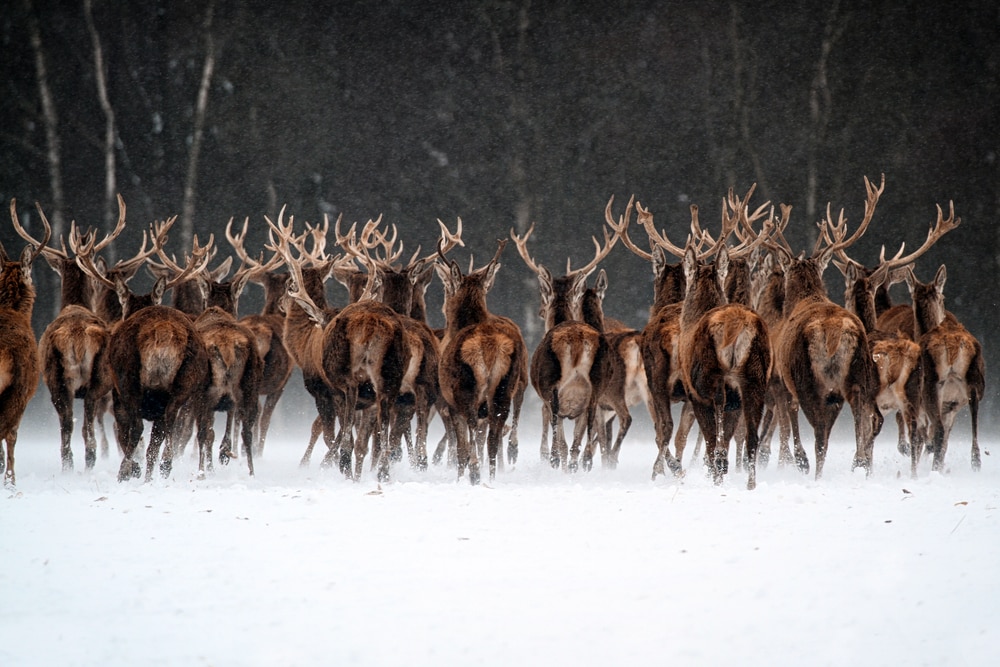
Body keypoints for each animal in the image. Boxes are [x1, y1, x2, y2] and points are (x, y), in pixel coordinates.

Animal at [11, 198, 124, 471]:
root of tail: (77, 337)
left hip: (60, 379)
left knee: (72, 424)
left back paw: (74, 465)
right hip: (85, 381)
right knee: (80, 425)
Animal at [435, 239, 528, 484]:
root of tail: (488, 346)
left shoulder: (450, 401)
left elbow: (461, 446)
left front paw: (461, 476)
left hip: (465, 387)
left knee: (473, 427)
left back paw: (476, 473)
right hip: (505, 385)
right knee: (494, 436)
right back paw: (493, 476)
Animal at [511, 208, 621, 472]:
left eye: (543, 297)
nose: (541, 312)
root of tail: (578, 341)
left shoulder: (548, 398)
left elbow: (561, 444)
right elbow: (576, 444)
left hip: (552, 388)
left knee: (558, 446)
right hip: (595, 389)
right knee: (584, 449)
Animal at [768, 174, 886, 479]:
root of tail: (835, 332)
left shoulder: (784, 377)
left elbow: (791, 414)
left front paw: (800, 460)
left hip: (809, 377)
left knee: (821, 433)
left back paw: (814, 469)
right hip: (860, 375)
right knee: (866, 417)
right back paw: (860, 463)